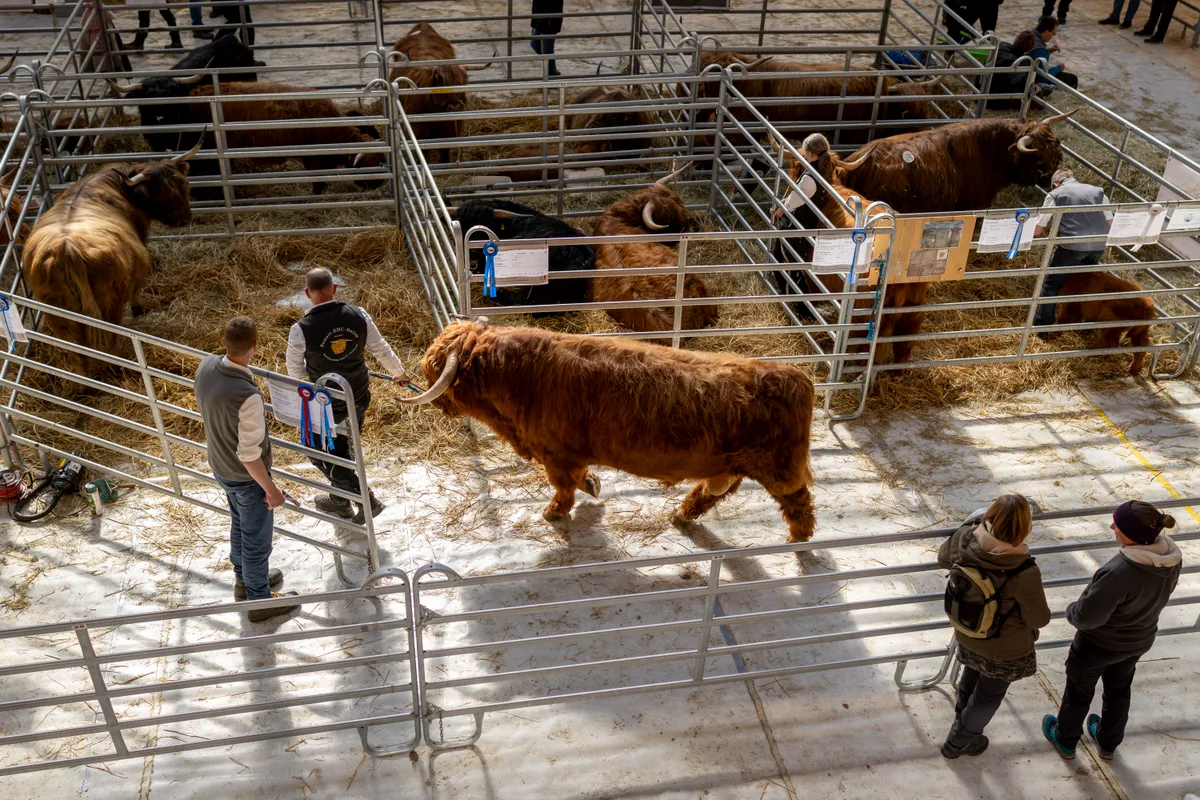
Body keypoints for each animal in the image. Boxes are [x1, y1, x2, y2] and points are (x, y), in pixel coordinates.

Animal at [21, 142, 200, 375]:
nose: (183, 219)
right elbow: (136, 290)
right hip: (109, 304)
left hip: (58, 314)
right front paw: (139, 309)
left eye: (182, 183)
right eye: (161, 193)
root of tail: (67, 250)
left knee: (75, 351)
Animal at [390, 22, 491, 164]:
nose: (454, 107)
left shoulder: (449, 129)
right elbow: (423, 153)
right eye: (440, 81)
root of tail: (423, 25)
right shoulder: (420, 131)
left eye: (462, 83)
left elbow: (444, 150)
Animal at [398, 319, 818, 543]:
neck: (519, 379)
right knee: (713, 491)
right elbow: (580, 479)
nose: (434, 399)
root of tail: (798, 377)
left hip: (780, 468)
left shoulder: (556, 454)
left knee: (799, 503)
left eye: (434, 367)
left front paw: (554, 512)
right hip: (730, 466)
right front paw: (593, 485)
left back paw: (797, 539)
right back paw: (681, 515)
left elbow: (564, 487)